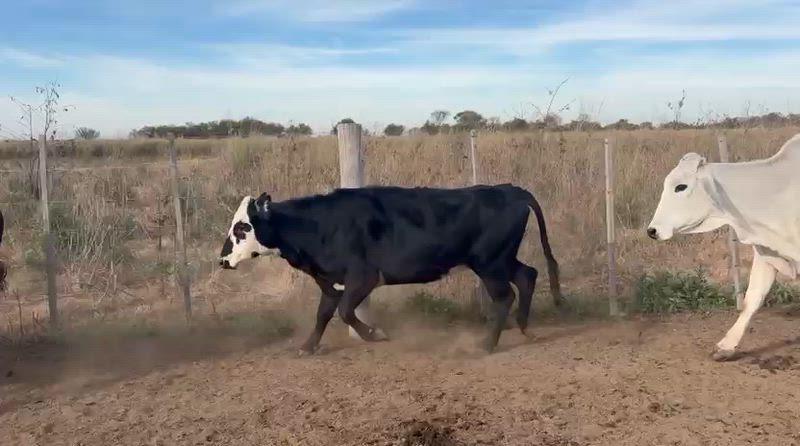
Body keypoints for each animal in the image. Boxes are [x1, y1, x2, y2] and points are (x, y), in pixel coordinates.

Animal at [219, 183, 563, 355]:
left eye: (242, 227)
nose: (222, 260)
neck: (318, 224)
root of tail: (512, 190)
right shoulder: (330, 282)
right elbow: (324, 314)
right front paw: (307, 347)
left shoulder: (363, 277)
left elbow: (345, 312)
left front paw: (375, 334)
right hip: (501, 260)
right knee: (527, 276)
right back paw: (524, 327)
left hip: (490, 263)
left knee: (505, 297)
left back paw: (487, 344)